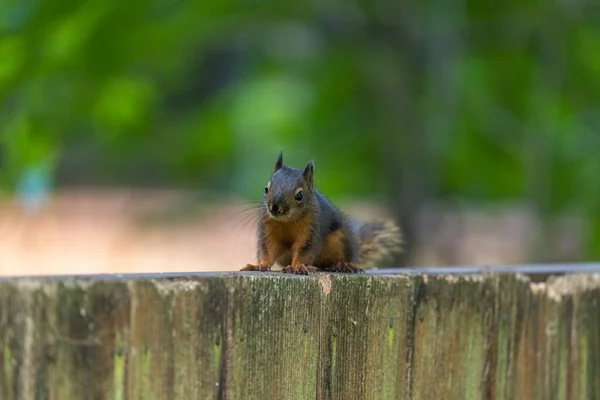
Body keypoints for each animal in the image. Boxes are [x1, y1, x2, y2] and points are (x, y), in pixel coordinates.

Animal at [239, 151, 404, 276]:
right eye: (266, 189)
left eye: (299, 195)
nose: (274, 208)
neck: (288, 220)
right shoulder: (268, 227)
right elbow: (269, 249)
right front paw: (260, 265)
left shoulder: (312, 228)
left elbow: (305, 249)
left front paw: (298, 266)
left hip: (341, 241)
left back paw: (343, 265)